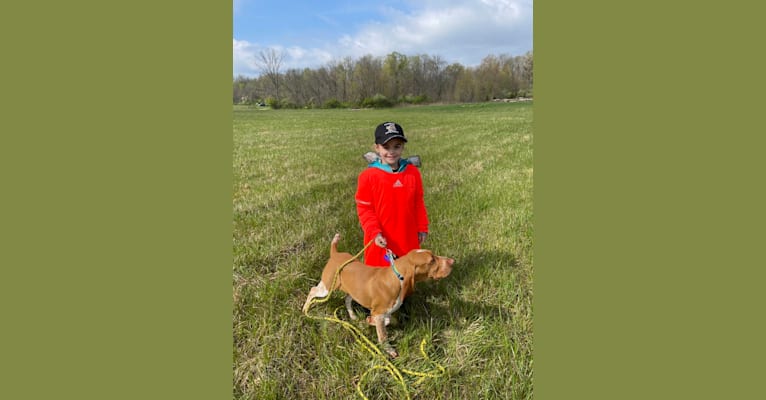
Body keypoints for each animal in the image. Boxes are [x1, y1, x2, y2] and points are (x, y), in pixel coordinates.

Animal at [304, 233, 452, 358]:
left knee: (346, 299)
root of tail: (335, 253)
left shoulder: (382, 313)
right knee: (313, 290)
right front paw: (389, 350)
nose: (452, 261)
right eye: (431, 261)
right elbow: (383, 336)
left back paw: (353, 316)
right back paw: (305, 309)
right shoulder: (379, 312)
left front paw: (369, 321)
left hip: (354, 292)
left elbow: (386, 321)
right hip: (327, 287)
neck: (397, 278)